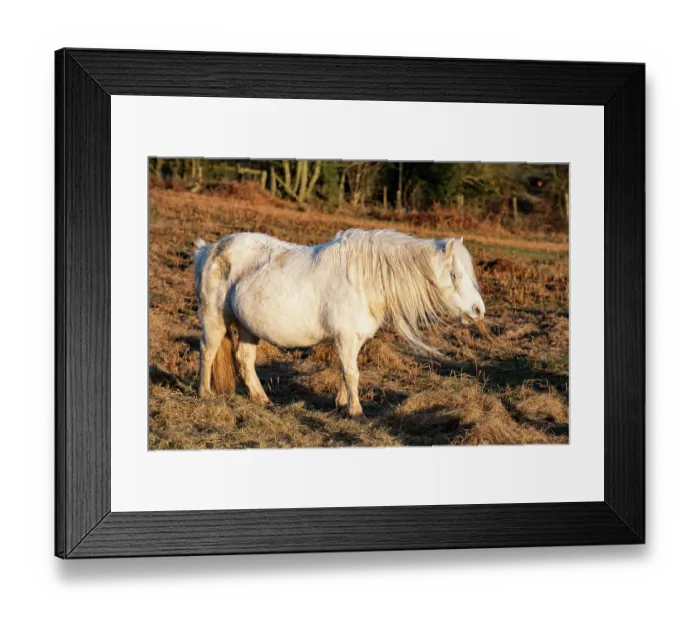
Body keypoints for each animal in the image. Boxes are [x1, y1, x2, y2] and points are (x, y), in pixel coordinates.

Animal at [193, 228, 485, 420]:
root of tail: (209, 248)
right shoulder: (345, 337)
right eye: (454, 274)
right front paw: (356, 412)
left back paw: (262, 399)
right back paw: (205, 393)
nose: (478, 310)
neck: (364, 280)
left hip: (248, 327)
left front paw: (342, 403)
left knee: (244, 360)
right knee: (207, 351)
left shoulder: (353, 339)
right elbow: (352, 373)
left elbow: (347, 372)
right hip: (214, 318)